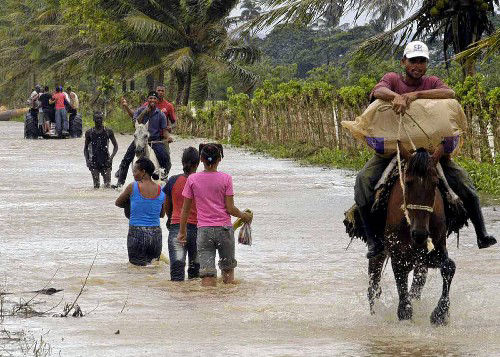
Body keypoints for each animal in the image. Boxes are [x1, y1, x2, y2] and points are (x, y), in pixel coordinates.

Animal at [368, 140, 454, 324]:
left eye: (435, 183)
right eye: (407, 182)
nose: (420, 234)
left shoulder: (433, 253)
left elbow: (449, 267)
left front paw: (440, 314)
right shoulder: (399, 258)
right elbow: (404, 302)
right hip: (379, 252)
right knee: (373, 286)